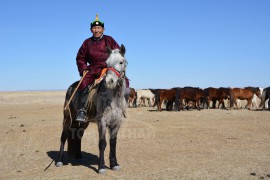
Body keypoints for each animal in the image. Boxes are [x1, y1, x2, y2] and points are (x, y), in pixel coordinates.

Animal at [55, 44, 127, 174]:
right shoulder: (102, 122)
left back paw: (78, 157)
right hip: (67, 118)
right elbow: (102, 143)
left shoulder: (116, 123)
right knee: (63, 137)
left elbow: (113, 143)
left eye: (121, 62)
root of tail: (71, 88)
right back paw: (59, 161)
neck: (113, 99)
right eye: (107, 63)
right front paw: (101, 166)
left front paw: (114, 164)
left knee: (78, 136)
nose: (109, 81)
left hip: (83, 122)